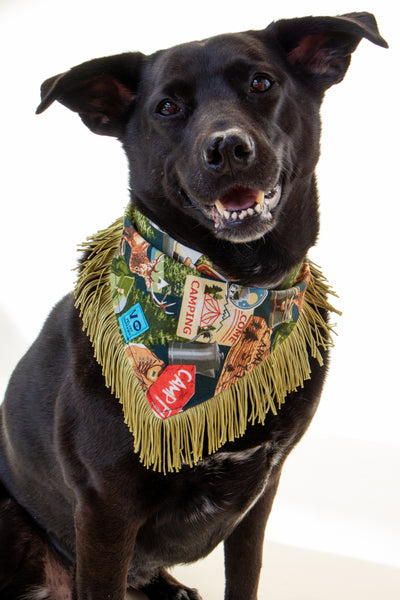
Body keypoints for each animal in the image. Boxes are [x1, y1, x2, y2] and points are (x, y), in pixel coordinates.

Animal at [0, 12, 388, 600]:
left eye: (261, 83)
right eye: (167, 107)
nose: (227, 148)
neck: (238, 284)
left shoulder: (261, 492)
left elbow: (244, 577)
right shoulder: (105, 511)